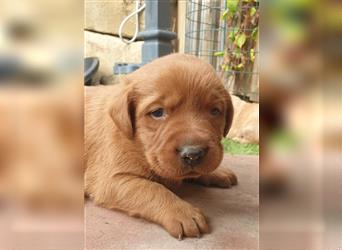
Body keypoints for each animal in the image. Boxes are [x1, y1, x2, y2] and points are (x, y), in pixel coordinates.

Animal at [84, 53, 236, 238]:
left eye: (215, 111)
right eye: (157, 112)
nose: (193, 154)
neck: (139, 144)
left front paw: (218, 172)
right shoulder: (111, 180)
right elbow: (151, 188)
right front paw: (182, 212)